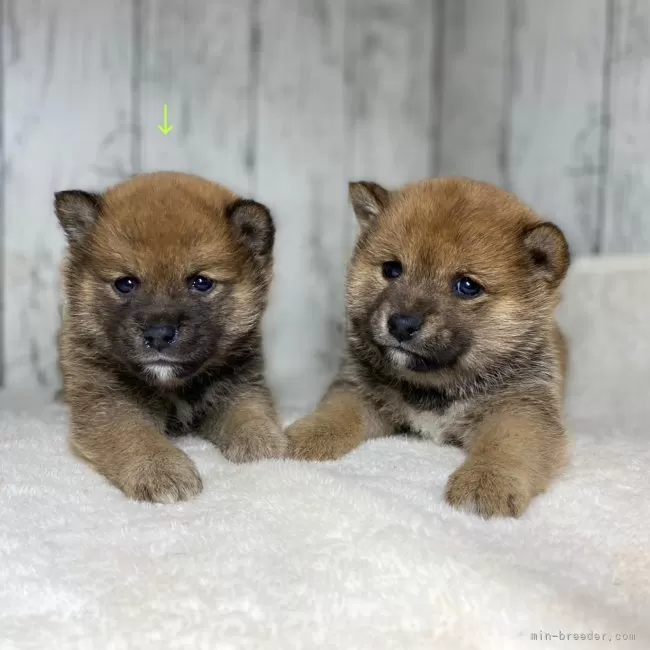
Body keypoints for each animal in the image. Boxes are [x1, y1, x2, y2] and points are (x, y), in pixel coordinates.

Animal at [52, 171, 280, 502]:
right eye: (125, 283)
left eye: (201, 282)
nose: (159, 335)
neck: (171, 385)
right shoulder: (108, 401)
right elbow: (136, 436)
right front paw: (160, 469)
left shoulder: (239, 383)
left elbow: (250, 411)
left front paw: (263, 440)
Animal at [286, 176, 568, 516]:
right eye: (392, 269)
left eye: (467, 286)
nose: (401, 324)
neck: (434, 386)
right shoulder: (359, 389)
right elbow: (336, 412)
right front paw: (306, 434)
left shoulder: (521, 408)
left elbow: (507, 445)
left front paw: (487, 481)